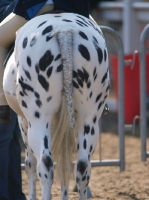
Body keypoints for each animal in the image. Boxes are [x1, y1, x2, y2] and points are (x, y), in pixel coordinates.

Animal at [2, 12, 109, 200]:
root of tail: (64, 31)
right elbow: (65, 162)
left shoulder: (24, 121)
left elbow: (30, 163)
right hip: (88, 120)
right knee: (82, 167)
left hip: (38, 119)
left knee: (45, 164)